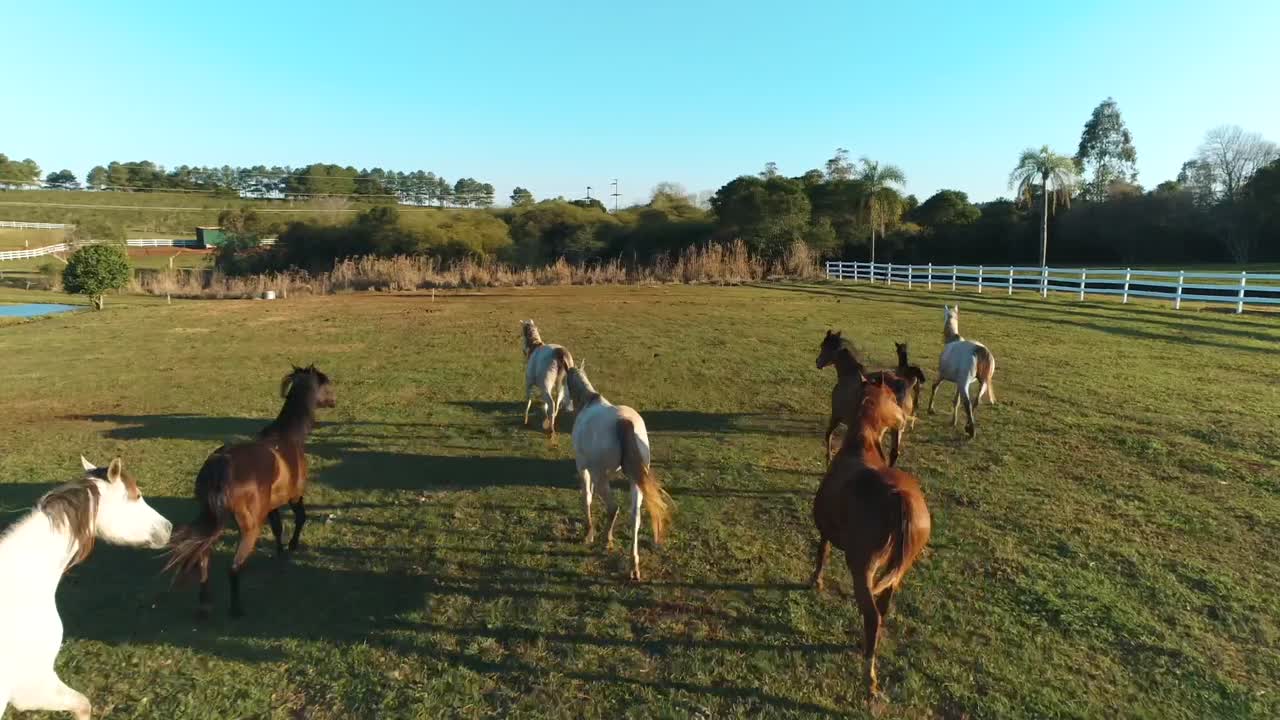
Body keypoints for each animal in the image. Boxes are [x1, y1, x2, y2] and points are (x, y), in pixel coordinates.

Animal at [165, 364, 335, 618]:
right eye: (327, 383)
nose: (334, 400)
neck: (288, 436)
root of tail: (221, 465)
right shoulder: (294, 496)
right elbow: (300, 518)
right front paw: (292, 547)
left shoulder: (272, 505)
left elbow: (277, 528)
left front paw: (281, 553)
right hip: (249, 527)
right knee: (234, 567)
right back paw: (236, 608)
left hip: (214, 517)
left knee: (203, 555)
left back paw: (205, 605)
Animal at [564, 362, 671, 582]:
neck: (589, 402)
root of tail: (624, 422)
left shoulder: (584, 467)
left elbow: (587, 497)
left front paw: (589, 533)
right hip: (634, 481)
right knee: (634, 517)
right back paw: (633, 565)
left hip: (601, 475)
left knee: (613, 507)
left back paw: (606, 540)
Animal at [811, 379, 931, 703]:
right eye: (892, 396)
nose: (905, 419)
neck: (859, 445)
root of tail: (899, 498)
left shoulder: (825, 531)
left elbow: (822, 553)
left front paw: (815, 581)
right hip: (896, 571)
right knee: (883, 608)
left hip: (862, 567)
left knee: (872, 615)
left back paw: (869, 679)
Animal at [815, 330, 911, 466]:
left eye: (823, 346)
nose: (817, 362)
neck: (849, 375)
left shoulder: (837, 416)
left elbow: (828, 434)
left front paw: (828, 459)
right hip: (897, 429)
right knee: (893, 453)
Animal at [926, 305, 996, 438]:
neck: (952, 340)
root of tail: (980, 350)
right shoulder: (959, 383)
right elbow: (956, 401)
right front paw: (953, 421)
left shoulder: (942, 375)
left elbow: (934, 387)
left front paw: (930, 409)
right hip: (982, 383)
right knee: (975, 402)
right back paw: (967, 426)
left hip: (965, 384)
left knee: (968, 404)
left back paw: (971, 431)